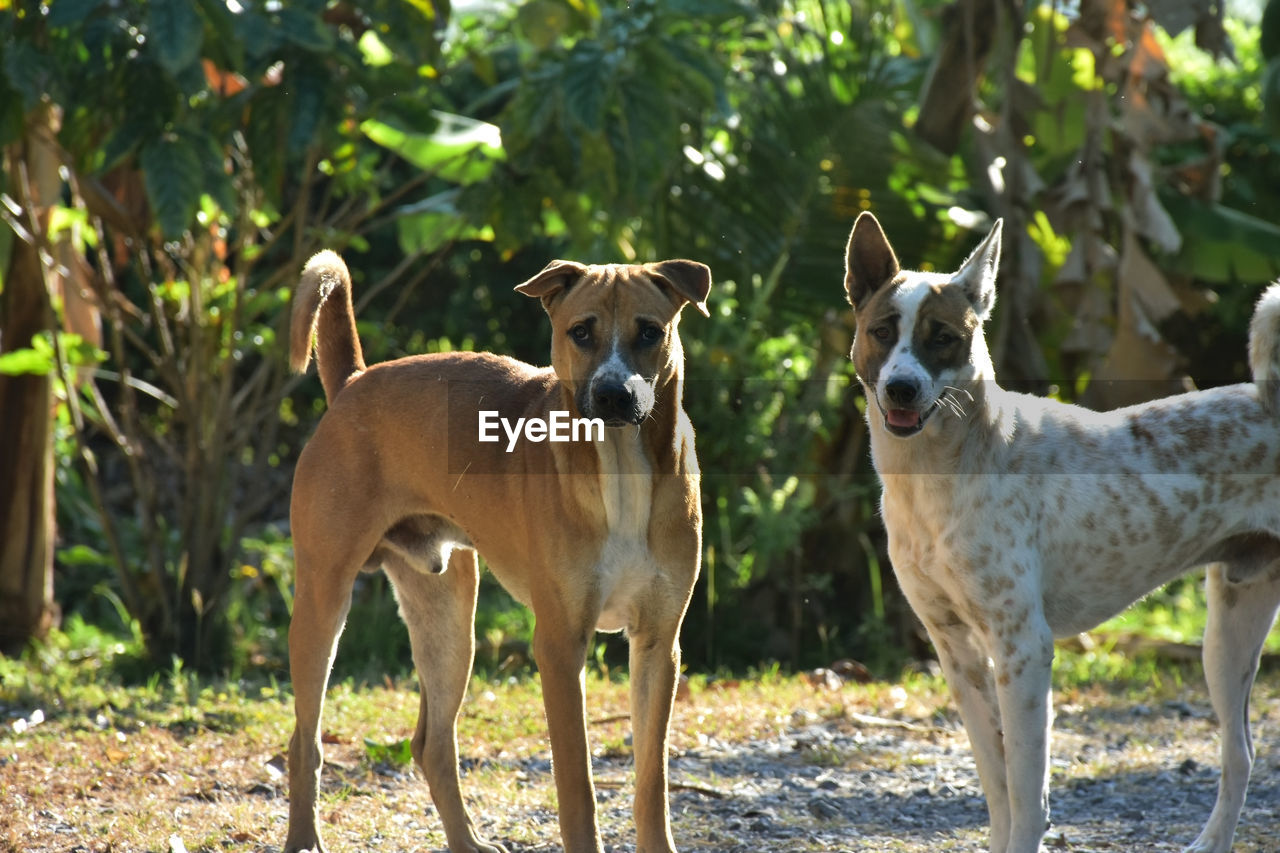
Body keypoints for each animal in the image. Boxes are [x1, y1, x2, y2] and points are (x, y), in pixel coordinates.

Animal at [279, 251, 711, 850]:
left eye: (649, 331)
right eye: (581, 332)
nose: (613, 395)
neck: (620, 468)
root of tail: (354, 382)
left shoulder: (657, 645)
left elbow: (651, 782)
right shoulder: (559, 647)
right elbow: (577, 787)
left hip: (448, 622)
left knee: (432, 745)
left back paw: (466, 841)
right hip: (324, 603)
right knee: (305, 743)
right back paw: (305, 836)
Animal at [839, 207, 1280, 850]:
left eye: (942, 336)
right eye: (881, 331)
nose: (900, 388)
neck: (936, 477)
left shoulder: (1024, 648)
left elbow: (1027, 797)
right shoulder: (956, 652)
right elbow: (997, 787)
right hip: (1229, 634)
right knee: (1241, 755)